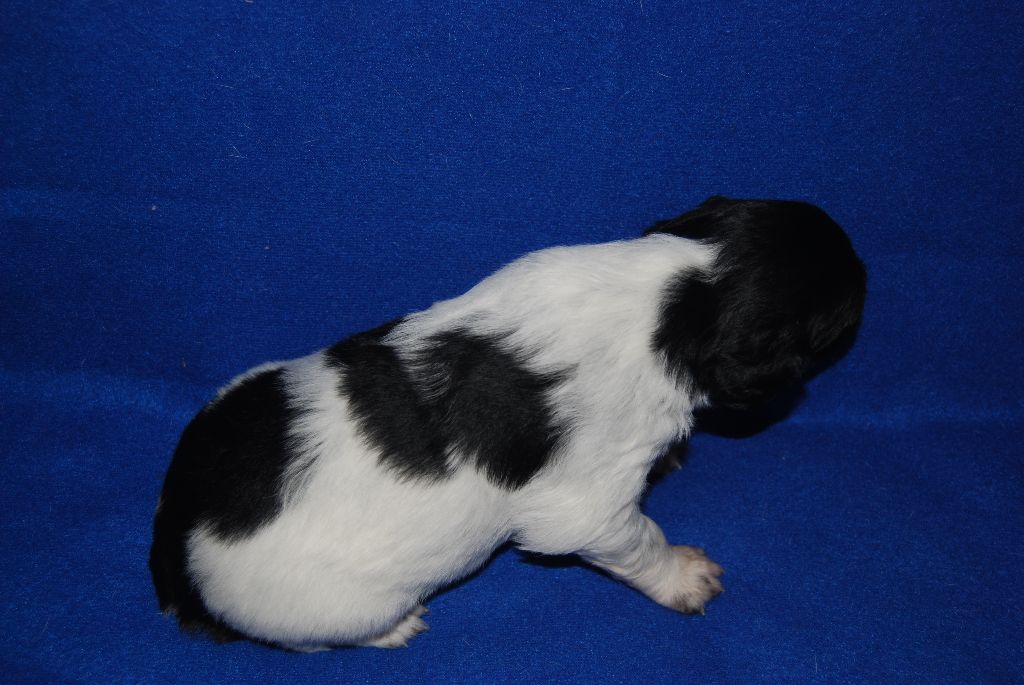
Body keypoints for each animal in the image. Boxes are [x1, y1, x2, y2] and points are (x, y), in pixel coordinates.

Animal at [150, 196, 866, 650]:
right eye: (835, 308)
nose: (865, 267)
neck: (683, 294)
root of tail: (179, 532)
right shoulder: (587, 510)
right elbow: (642, 539)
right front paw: (684, 576)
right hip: (338, 607)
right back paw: (395, 629)